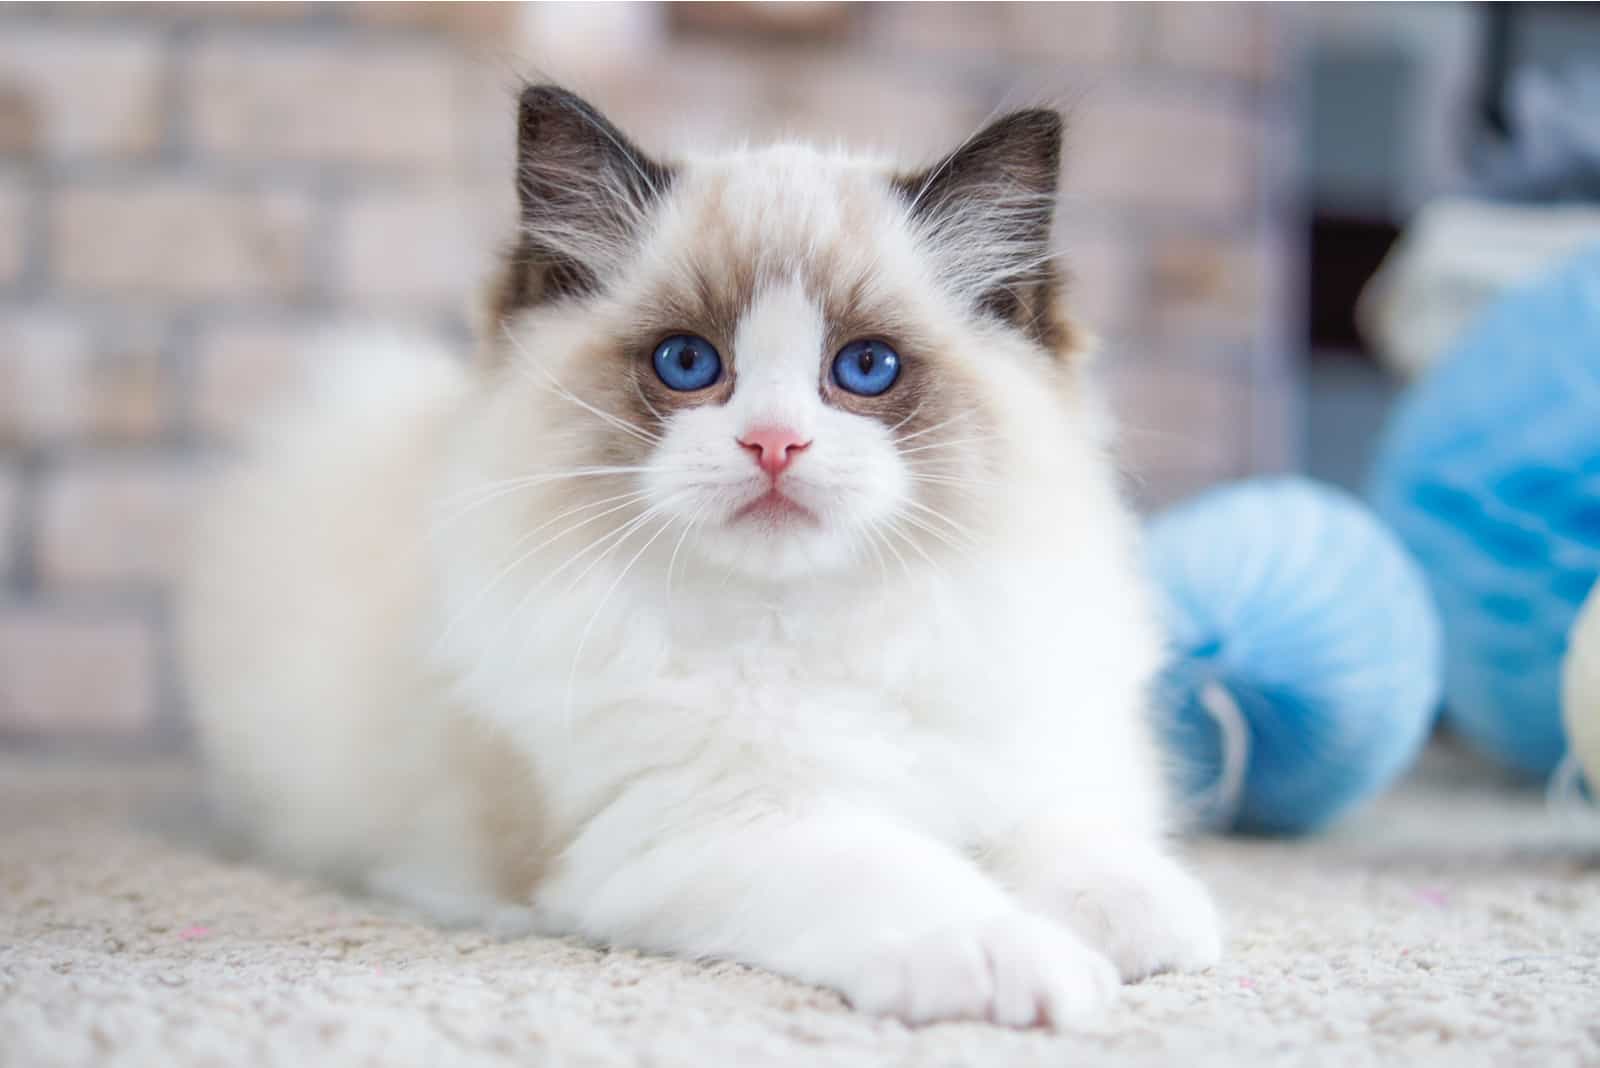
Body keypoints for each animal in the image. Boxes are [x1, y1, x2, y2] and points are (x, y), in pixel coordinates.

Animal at [178, 87, 1222, 1029]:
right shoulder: (709, 829)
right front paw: (1013, 960)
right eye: (688, 364)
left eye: (865, 369)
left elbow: (1070, 838)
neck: (805, 630)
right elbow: (911, 879)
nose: (774, 445)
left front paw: (1149, 926)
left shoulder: (1029, 755)